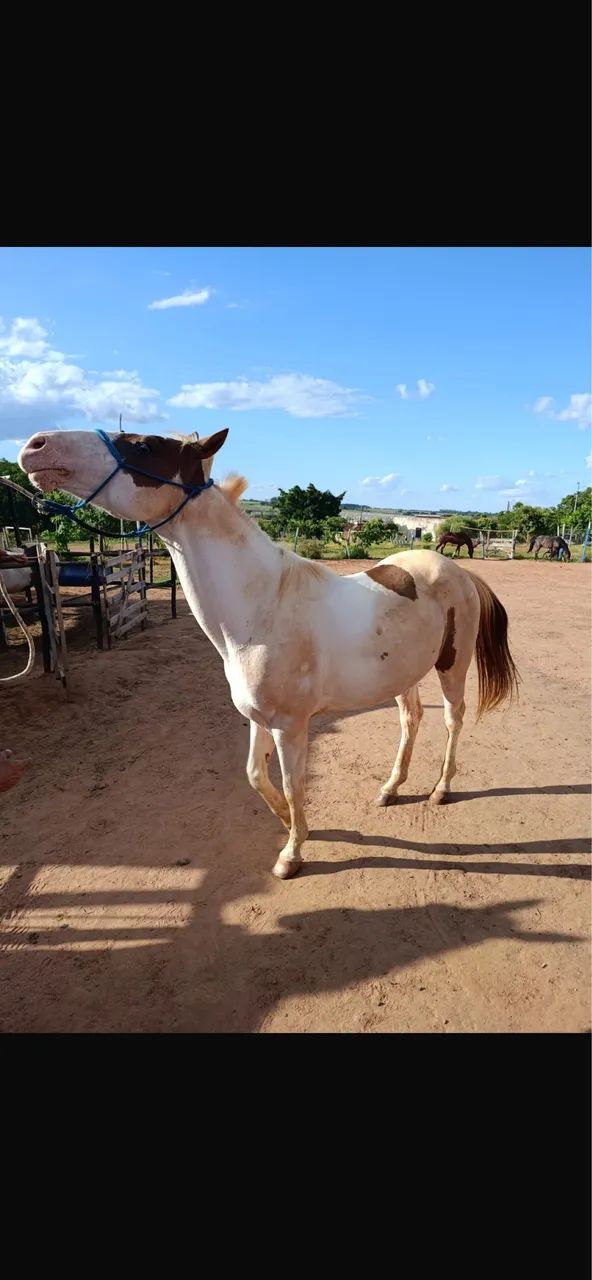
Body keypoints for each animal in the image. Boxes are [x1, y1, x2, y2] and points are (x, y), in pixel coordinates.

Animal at [19, 428, 519, 879]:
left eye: (142, 445)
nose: (36, 446)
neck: (261, 611)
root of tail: (459, 571)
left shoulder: (289, 727)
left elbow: (295, 787)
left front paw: (292, 854)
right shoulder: (259, 718)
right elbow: (255, 776)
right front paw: (292, 827)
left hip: (451, 667)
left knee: (452, 720)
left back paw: (440, 790)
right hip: (402, 675)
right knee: (410, 719)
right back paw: (390, 789)